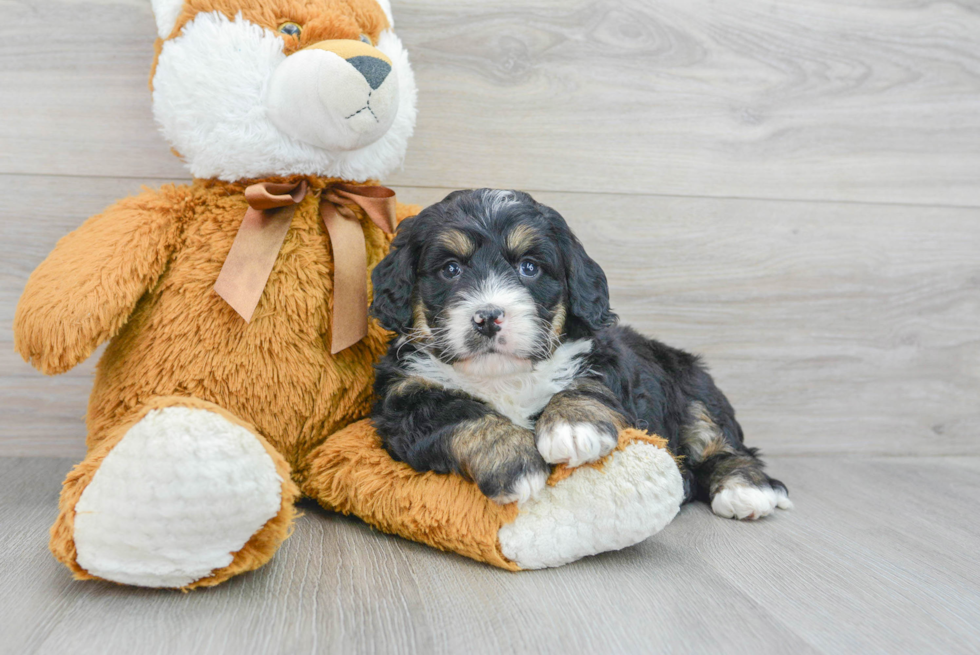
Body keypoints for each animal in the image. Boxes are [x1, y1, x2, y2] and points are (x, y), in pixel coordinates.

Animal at [372, 190, 792, 524]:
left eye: (529, 267)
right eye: (450, 269)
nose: (488, 317)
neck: (503, 375)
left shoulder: (603, 358)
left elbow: (585, 385)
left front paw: (573, 427)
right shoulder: (404, 398)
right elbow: (460, 413)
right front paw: (512, 459)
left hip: (694, 386)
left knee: (722, 443)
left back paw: (746, 490)